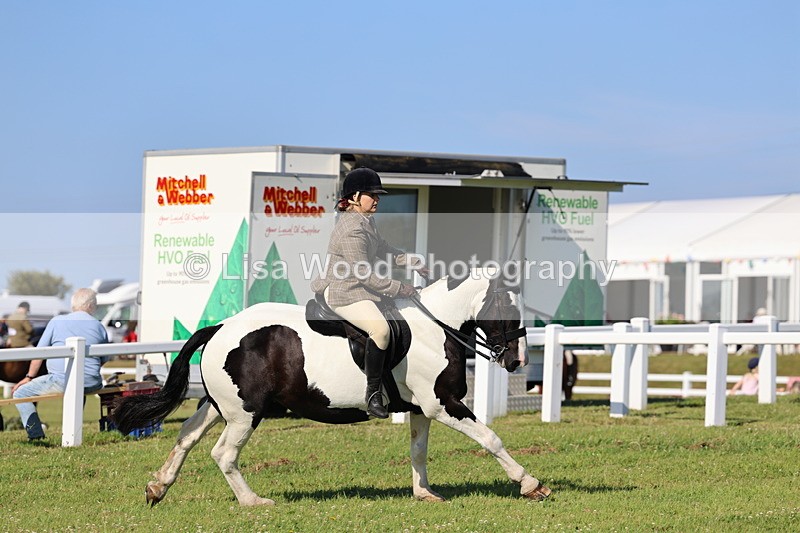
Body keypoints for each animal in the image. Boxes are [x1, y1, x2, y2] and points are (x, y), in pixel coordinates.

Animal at [111, 269, 552, 506]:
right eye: (508, 310)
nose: (516, 361)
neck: (435, 327)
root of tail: (221, 326)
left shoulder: (421, 410)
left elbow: (418, 452)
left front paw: (424, 493)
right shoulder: (443, 403)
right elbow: (491, 439)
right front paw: (531, 484)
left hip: (221, 406)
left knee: (186, 436)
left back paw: (158, 487)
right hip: (244, 413)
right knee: (223, 454)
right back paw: (253, 501)